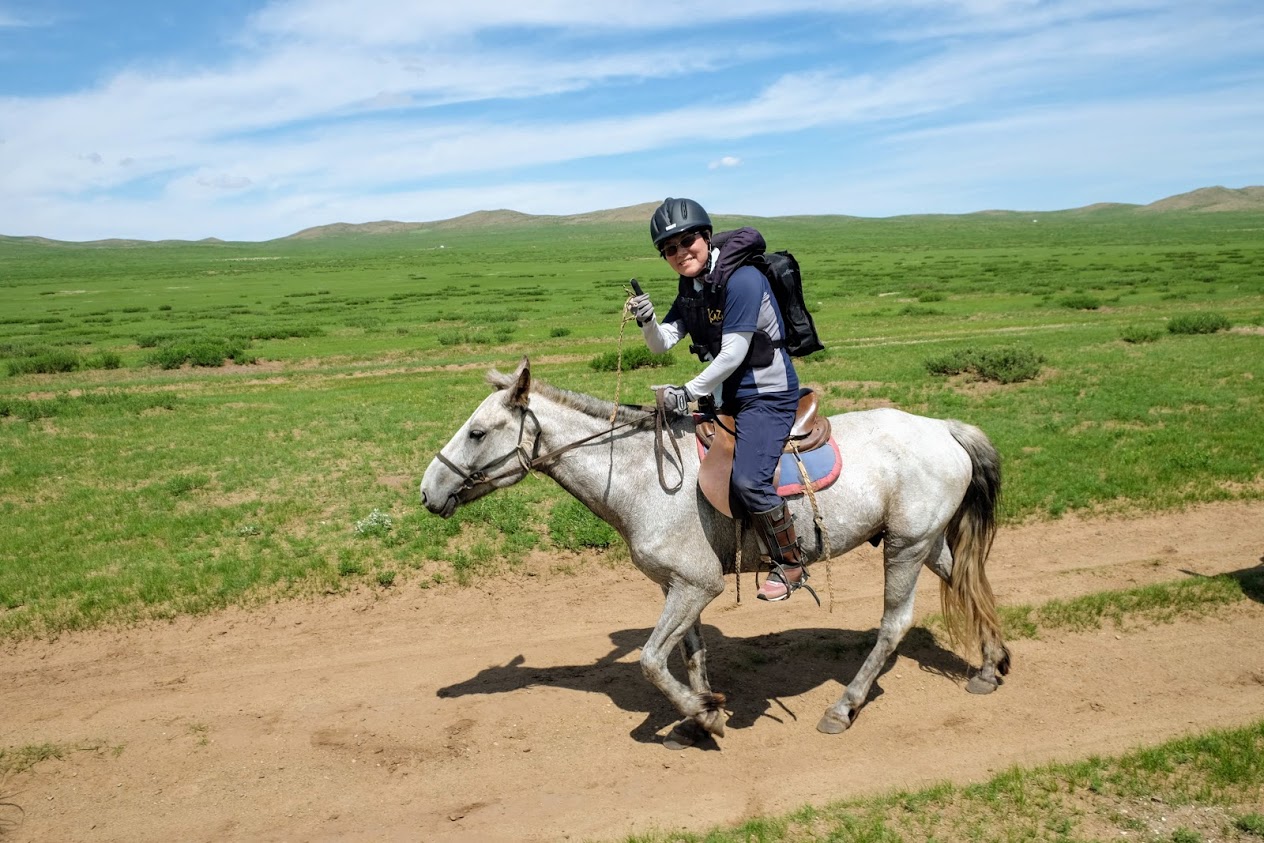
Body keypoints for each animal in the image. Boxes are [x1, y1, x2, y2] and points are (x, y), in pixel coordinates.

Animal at [419, 356, 1011, 743]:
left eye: (477, 432)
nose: (428, 491)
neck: (642, 475)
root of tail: (945, 428)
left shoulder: (695, 586)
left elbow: (650, 661)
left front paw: (703, 715)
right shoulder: (683, 587)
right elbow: (690, 655)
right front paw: (702, 714)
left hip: (905, 548)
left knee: (894, 624)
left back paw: (842, 708)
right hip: (925, 542)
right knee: (967, 583)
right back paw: (990, 666)